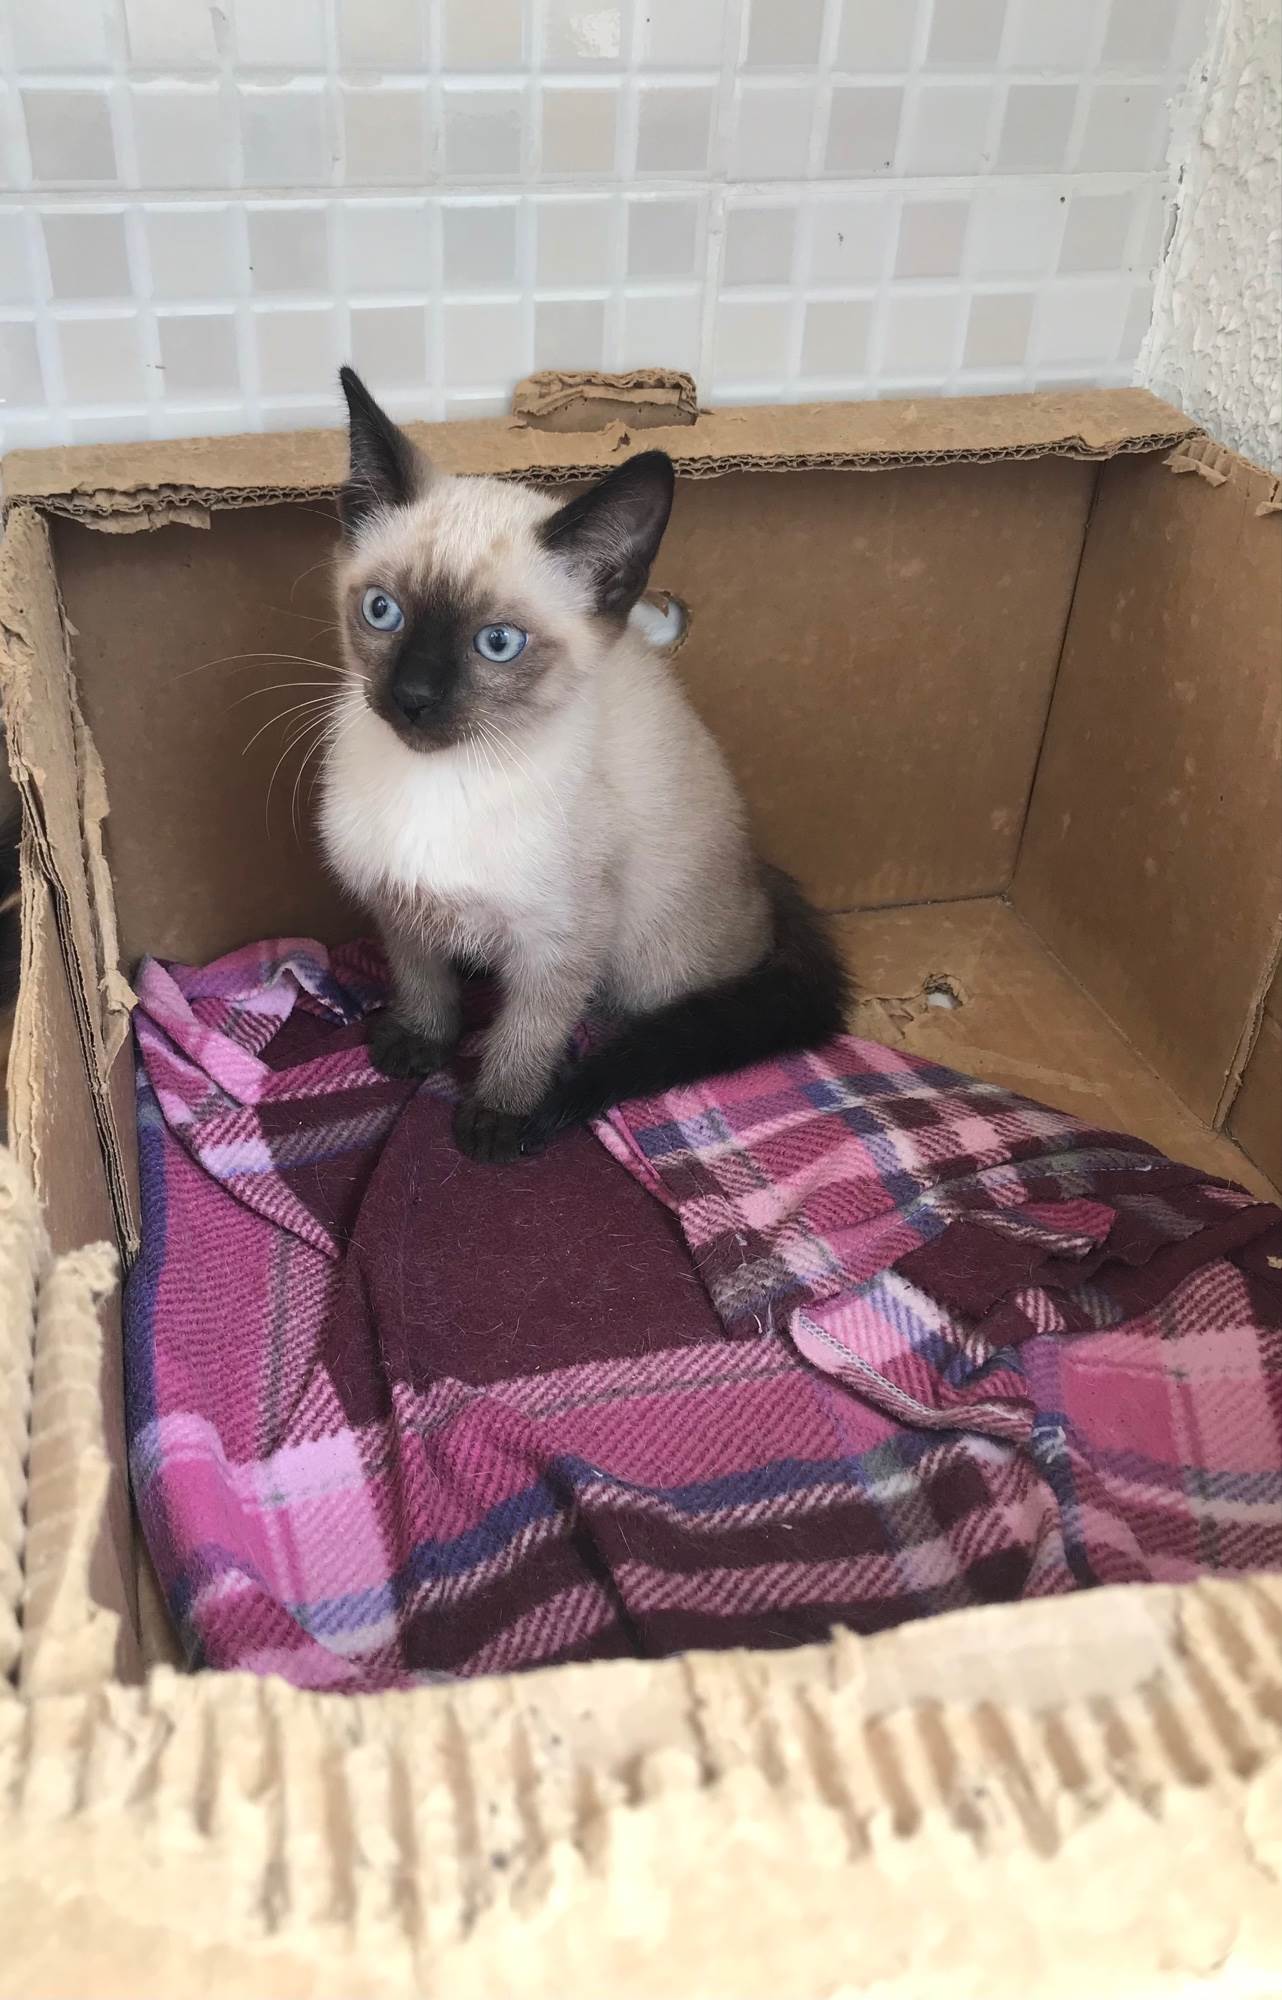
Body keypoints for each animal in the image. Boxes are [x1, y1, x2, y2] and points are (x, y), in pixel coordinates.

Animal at [319, 367, 848, 1163]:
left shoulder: (563, 940)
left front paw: (498, 1119)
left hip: (652, 965)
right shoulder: (398, 901)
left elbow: (527, 1032)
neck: (445, 782)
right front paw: (418, 1043)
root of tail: (761, 873)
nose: (412, 698)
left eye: (498, 644)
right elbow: (423, 981)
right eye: (383, 611)